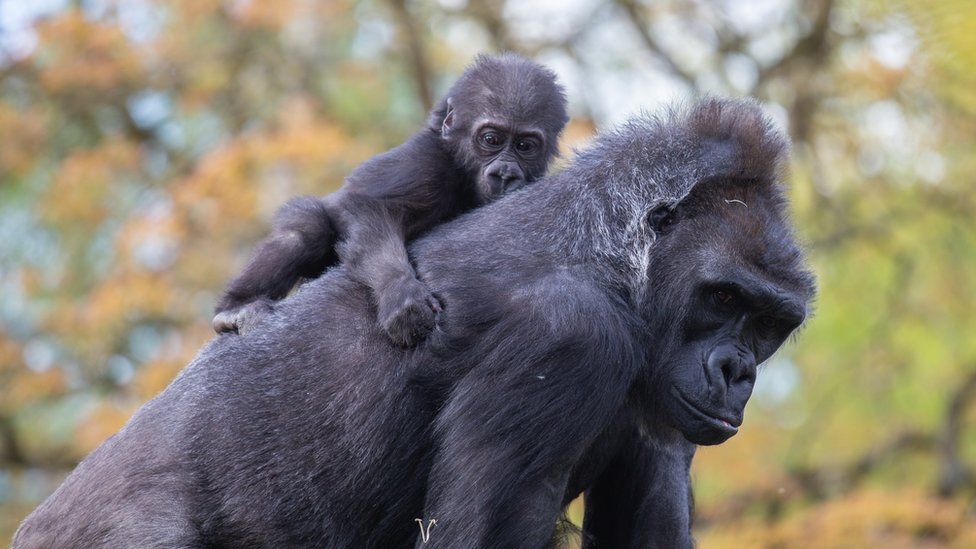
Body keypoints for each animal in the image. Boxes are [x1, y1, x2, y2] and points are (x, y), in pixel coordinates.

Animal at [210, 55, 568, 346]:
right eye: (491, 139)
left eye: (524, 146)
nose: (506, 173)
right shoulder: (424, 164)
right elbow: (370, 208)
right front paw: (402, 296)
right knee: (306, 231)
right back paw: (235, 307)